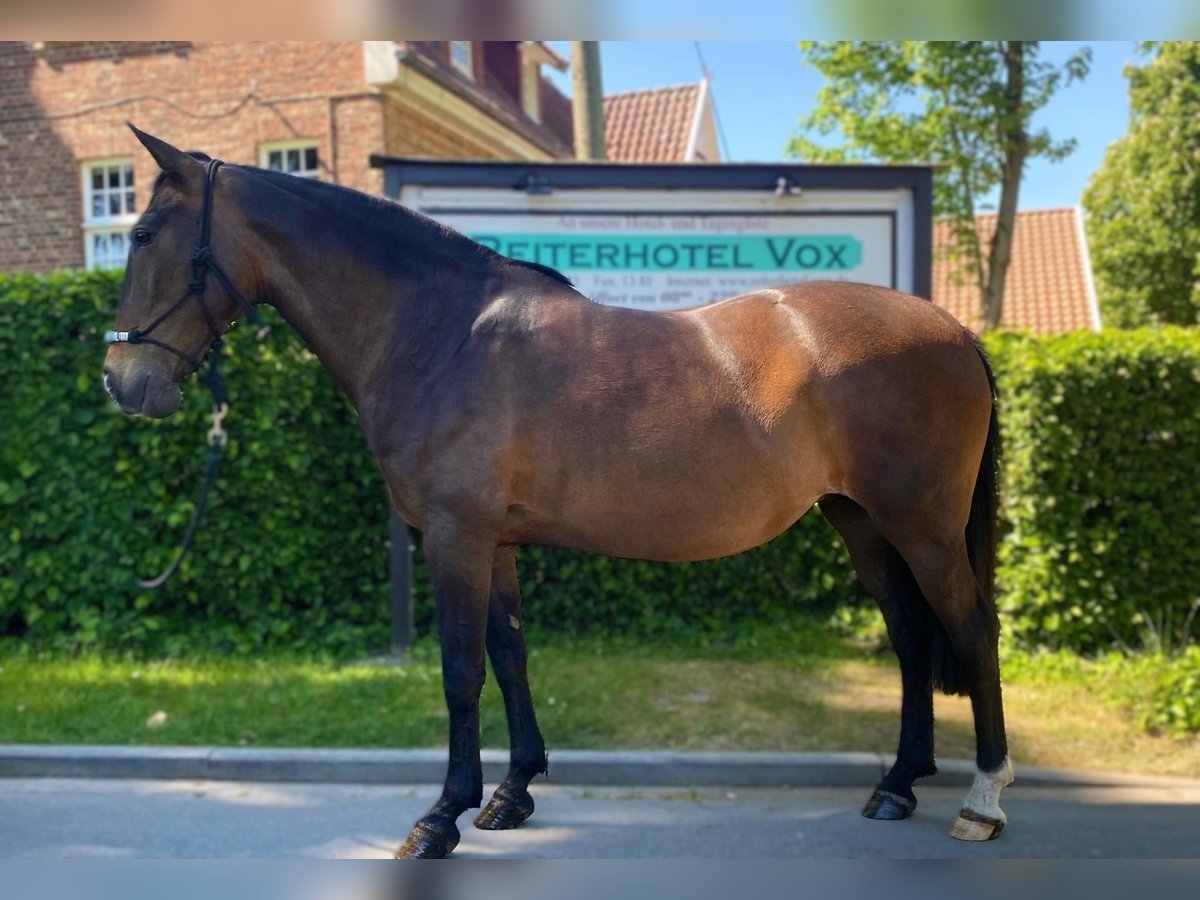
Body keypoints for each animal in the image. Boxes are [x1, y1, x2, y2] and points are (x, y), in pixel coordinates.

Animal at [103, 126, 1012, 858]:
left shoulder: (455, 537)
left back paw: (982, 799)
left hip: (924, 526)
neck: (441, 334)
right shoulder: (495, 541)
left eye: (143, 233)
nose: (122, 380)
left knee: (970, 627)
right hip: (862, 521)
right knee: (910, 635)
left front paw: (439, 818)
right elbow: (510, 656)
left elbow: (460, 670)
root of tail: (955, 331)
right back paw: (897, 786)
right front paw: (511, 795)